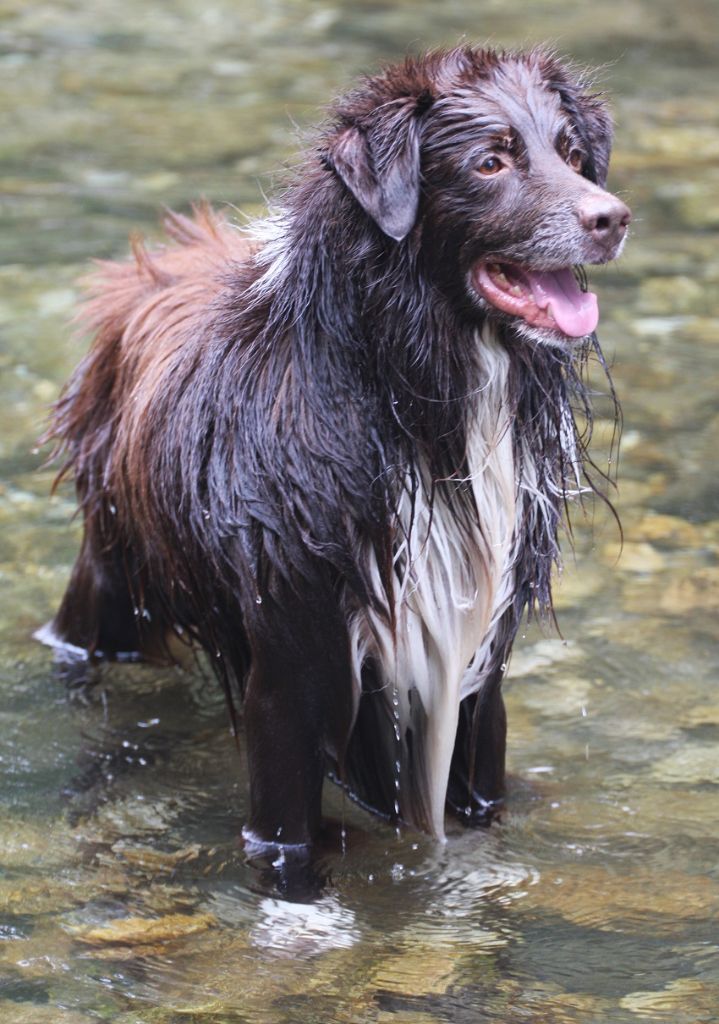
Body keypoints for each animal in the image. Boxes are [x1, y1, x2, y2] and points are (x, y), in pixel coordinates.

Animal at [39, 46, 630, 847]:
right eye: (489, 162)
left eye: (572, 156)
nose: (612, 218)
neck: (417, 403)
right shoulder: (293, 672)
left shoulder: (480, 681)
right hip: (110, 574)